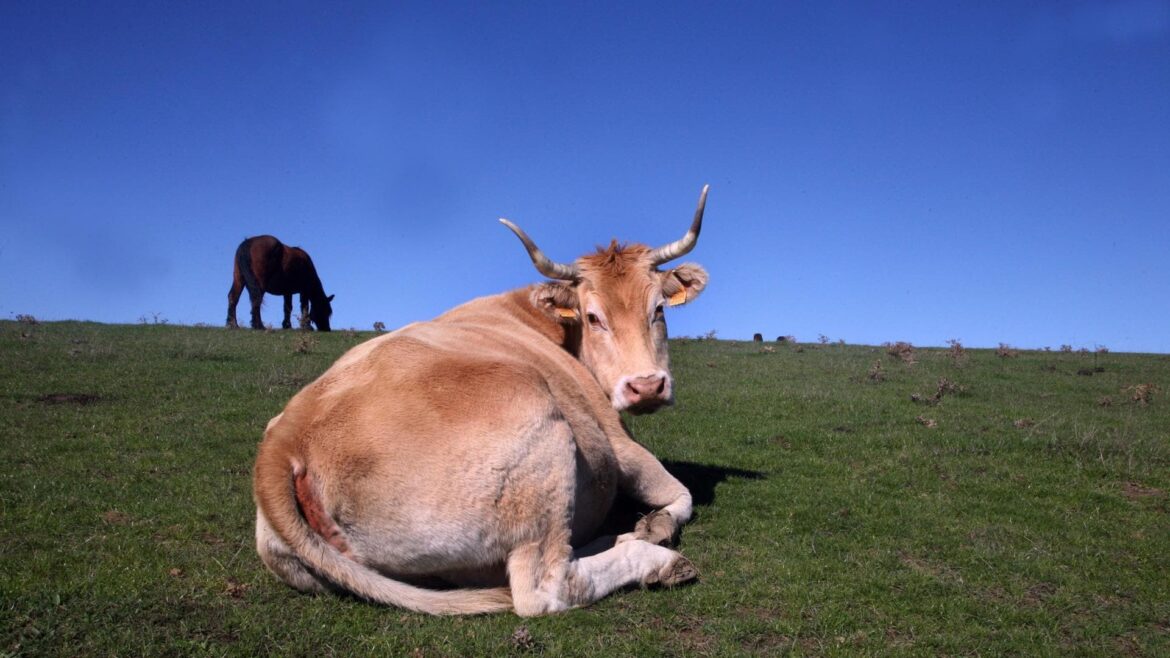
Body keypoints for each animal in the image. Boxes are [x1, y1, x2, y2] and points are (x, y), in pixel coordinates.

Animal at [253, 186, 712, 616]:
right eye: (593, 317)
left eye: (659, 310)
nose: (647, 386)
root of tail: (285, 438)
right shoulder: (619, 445)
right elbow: (682, 497)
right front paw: (653, 527)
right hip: (541, 432)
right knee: (546, 587)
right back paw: (654, 559)